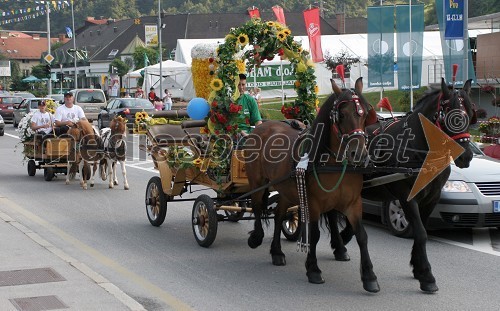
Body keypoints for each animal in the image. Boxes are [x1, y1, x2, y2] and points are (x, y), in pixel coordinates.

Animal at [242, 79, 378, 294]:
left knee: (279, 215)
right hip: (258, 182)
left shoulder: (353, 203)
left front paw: (369, 276)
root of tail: (262, 126)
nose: (358, 154)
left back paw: (276, 252)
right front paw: (313, 269)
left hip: (286, 190)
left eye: (365, 113)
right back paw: (256, 237)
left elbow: (362, 236)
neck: (335, 162)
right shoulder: (313, 204)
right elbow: (313, 235)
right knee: (256, 207)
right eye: (341, 115)